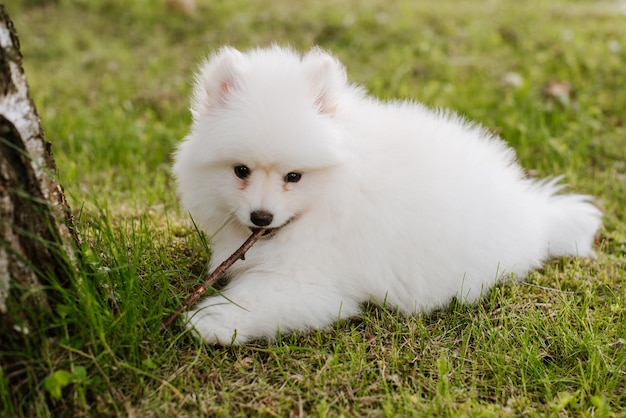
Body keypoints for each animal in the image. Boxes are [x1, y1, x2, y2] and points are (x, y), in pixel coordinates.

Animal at [171, 46, 600, 346]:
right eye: (240, 171)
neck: (334, 193)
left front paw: (208, 321)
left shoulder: (312, 282)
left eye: (294, 176)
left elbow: (254, 300)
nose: (261, 217)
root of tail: (535, 215)